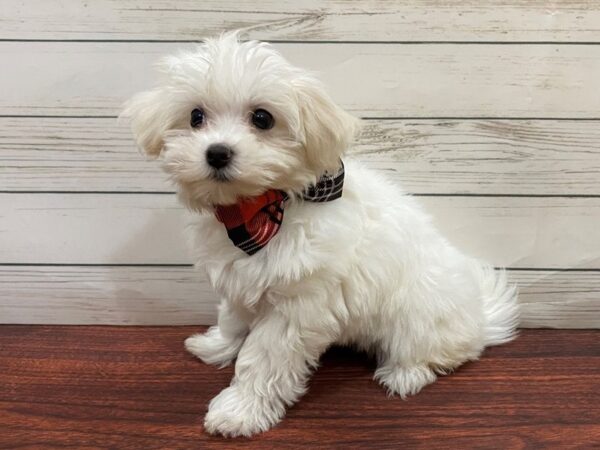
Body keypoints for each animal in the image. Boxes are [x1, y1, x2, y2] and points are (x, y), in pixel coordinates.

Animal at [123, 32, 520, 440]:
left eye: (262, 118)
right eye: (195, 117)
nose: (217, 153)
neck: (263, 208)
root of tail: (480, 318)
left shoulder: (296, 306)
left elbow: (263, 359)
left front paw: (240, 410)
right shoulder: (241, 280)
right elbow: (233, 317)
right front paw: (218, 345)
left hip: (418, 317)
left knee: (437, 353)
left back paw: (405, 374)